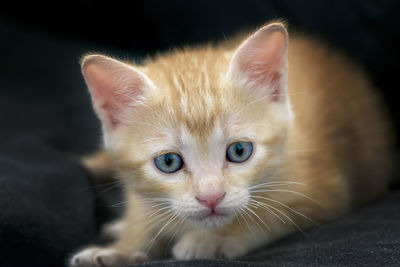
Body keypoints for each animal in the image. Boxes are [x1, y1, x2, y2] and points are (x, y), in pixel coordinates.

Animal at [69, 22, 394, 266]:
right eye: (169, 162)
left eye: (239, 151)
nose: (211, 198)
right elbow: (143, 213)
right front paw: (121, 249)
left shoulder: (326, 189)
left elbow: (266, 214)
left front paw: (212, 239)